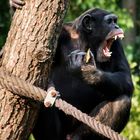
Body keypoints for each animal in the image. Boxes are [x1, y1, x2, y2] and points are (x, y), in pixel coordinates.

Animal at [8, 0, 133, 139]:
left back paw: (76, 137)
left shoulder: (116, 44)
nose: (116, 26)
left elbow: (125, 76)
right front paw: (14, 6)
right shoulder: (60, 34)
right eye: (110, 21)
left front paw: (86, 72)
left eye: (115, 20)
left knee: (122, 101)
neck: (85, 39)